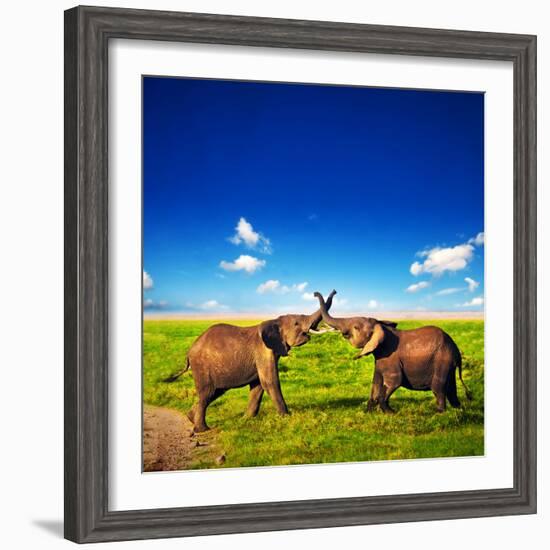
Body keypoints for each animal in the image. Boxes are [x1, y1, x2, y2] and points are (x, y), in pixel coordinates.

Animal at [164, 292, 336, 434]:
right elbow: (270, 382)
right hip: (202, 366)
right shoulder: (263, 351)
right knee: (207, 393)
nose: (316, 293)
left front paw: (246, 420)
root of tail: (189, 351)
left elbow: (258, 386)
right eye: (296, 323)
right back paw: (203, 430)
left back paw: (190, 417)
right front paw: (286, 417)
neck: (275, 321)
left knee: (214, 392)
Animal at [312, 294, 472, 414]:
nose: (314, 293)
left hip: (442, 360)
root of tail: (456, 350)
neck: (381, 327)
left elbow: (394, 381)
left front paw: (391, 413)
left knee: (438, 387)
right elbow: (376, 382)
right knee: (451, 388)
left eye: (356, 327)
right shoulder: (380, 359)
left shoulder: (391, 358)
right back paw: (459, 409)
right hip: (448, 363)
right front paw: (368, 412)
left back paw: (438, 413)